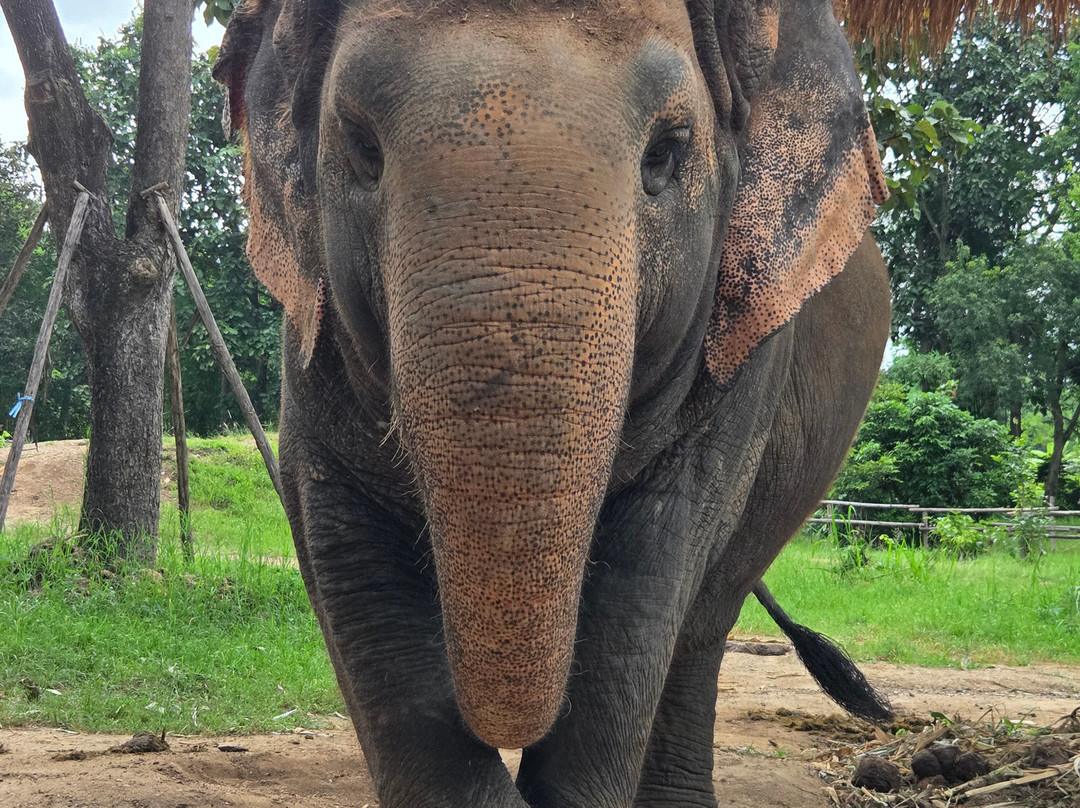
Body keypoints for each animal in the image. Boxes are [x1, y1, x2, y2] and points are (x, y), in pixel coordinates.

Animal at [213, 0, 892, 804]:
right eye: (361, 149)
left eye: (665, 155)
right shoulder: (310, 330)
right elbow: (352, 561)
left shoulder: (746, 350)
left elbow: (646, 572)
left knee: (703, 623)